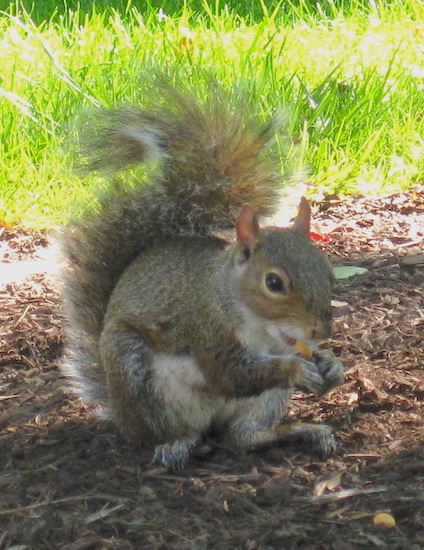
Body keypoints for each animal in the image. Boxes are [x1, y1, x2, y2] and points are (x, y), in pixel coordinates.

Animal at [59, 77, 344, 472]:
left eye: (328, 271)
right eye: (274, 283)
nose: (320, 331)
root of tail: (121, 413)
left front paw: (332, 364)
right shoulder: (207, 327)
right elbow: (231, 374)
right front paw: (296, 370)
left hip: (262, 402)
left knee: (244, 437)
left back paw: (298, 432)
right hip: (139, 378)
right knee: (174, 432)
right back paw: (177, 446)